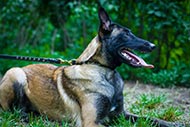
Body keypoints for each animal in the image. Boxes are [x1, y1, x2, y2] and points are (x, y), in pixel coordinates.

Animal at [0, 7, 178, 127]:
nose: (153, 46)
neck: (105, 72)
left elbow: (149, 118)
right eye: (127, 34)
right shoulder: (92, 121)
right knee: (9, 110)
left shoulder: (121, 114)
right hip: (16, 73)